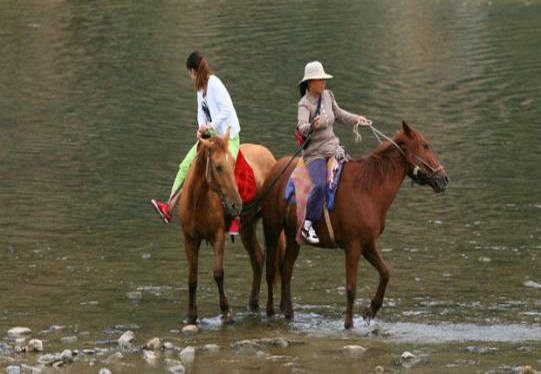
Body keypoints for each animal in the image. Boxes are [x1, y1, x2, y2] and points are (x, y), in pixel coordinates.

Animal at [178, 130, 278, 322]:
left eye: (233, 165)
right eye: (218, 167)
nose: (236, 204)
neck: (198, 200)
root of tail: (270, 155)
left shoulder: (217, 236)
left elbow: (218, 273)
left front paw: (226, 311)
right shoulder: (190, 239)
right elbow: (192, 278)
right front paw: (191, 315)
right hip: (247, 227)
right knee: (258, 259)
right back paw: (253, 303)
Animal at [260, 121, 446, 328]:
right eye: (425, 146)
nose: (443, 179)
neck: (367, 189)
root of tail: (276, 169)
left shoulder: (367, 243)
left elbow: (385, 273)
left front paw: (371, 310)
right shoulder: (353, 246)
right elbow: (351, 288)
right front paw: (348, 324)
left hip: (293, 236)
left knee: (286, 270)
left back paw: (289, 314)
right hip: (272, 228)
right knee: (271, 271)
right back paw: (270, 312)